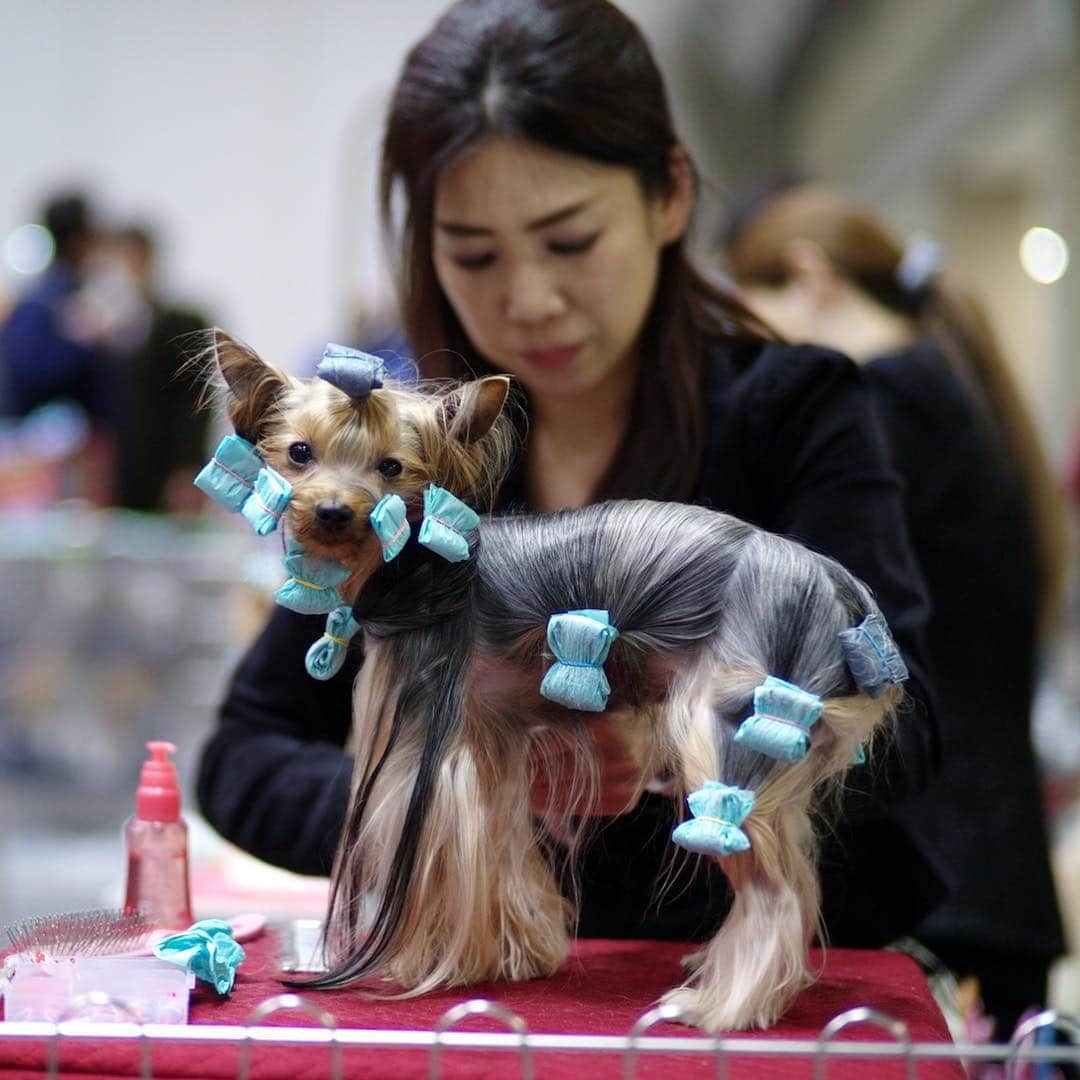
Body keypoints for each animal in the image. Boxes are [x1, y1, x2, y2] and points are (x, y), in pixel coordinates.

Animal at [198, 332, 907, 1032]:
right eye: (299, 453)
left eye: (392, 468)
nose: (333, 513)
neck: (419, 569)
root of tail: (837, 590)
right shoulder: (493, 742)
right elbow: (503, 846)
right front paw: (520, 951)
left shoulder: (425, 747)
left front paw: (426, 964)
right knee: (796, 875)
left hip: (730, 718)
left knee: (773, 890)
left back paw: (719, 1006)